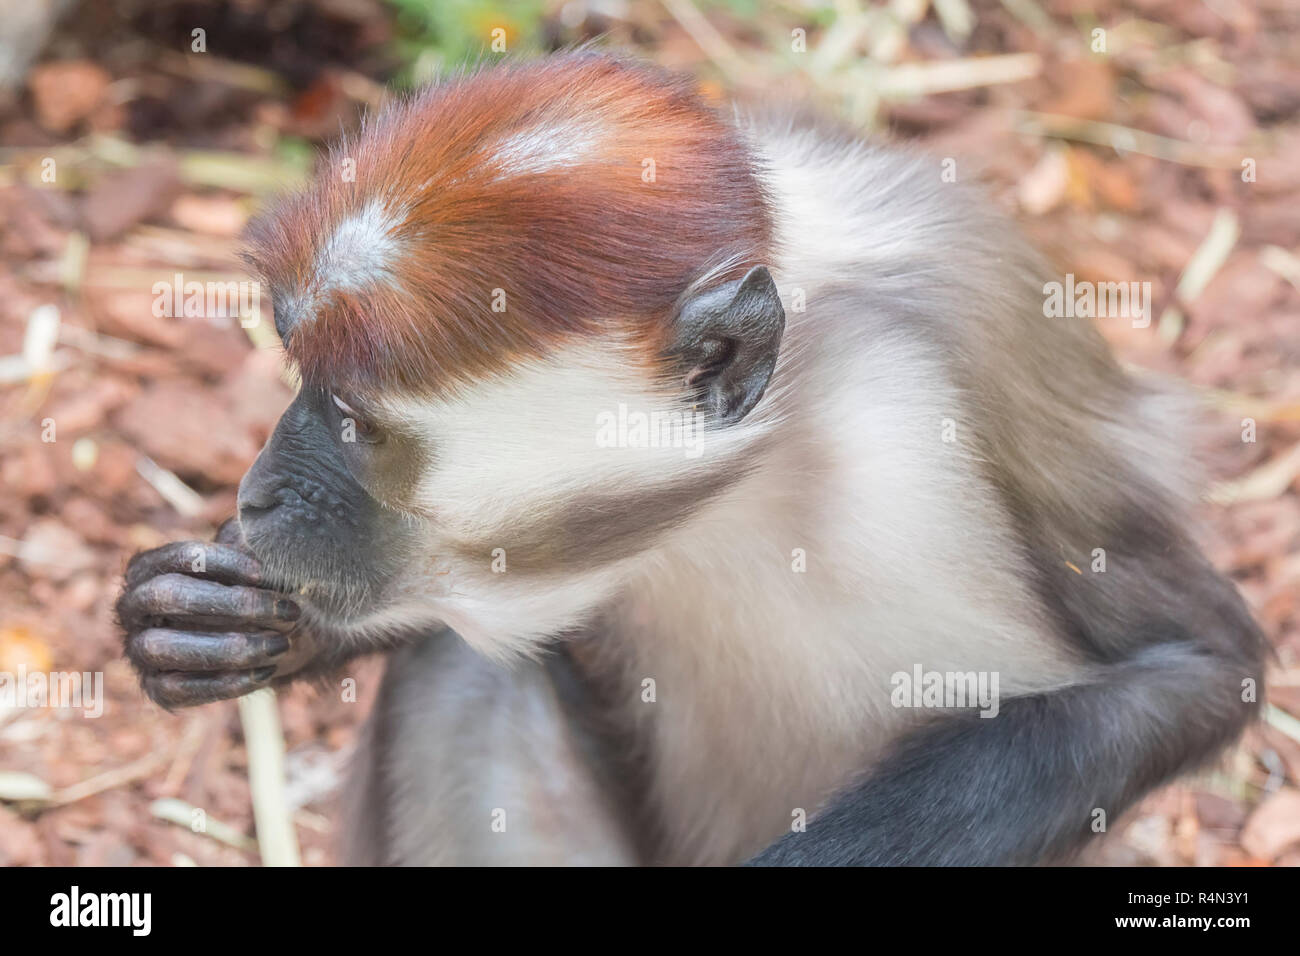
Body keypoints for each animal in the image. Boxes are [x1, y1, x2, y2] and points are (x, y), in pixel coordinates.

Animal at [114, 50, 1268, 868]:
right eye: (295, 376)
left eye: (350, 419)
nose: (259, 495)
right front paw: (211, 618)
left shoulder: (950, 376)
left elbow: (1203, 667)